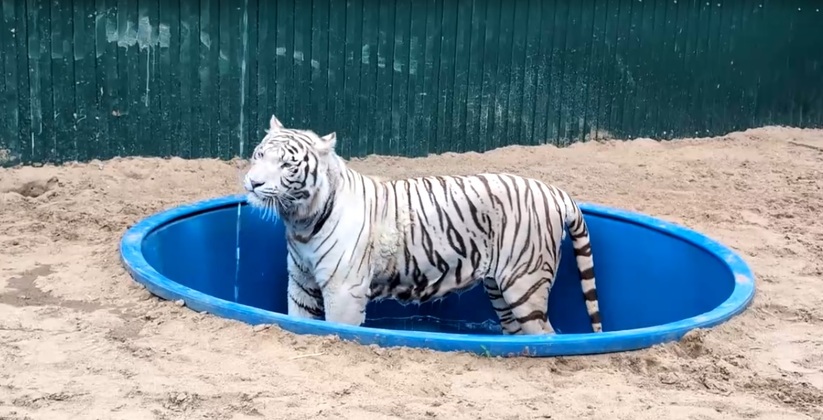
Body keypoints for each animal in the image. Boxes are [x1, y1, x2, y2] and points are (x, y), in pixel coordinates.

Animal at [243, 115, 603, 335]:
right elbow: (298, 321)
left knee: (546, 336)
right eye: (259, 155)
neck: (300, 221)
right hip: (499, 288)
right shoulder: (301, 282)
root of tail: (555, 191)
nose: (253, 183)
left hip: (524, 284)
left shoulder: (343, 290)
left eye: (287, 165)